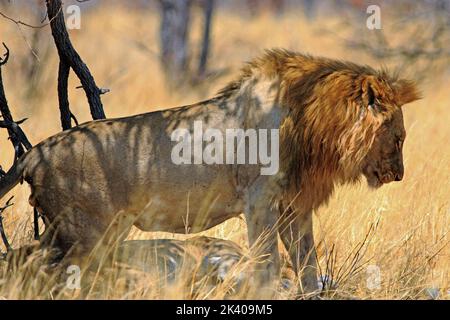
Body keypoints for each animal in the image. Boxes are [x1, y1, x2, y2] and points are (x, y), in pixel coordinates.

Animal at [0, 50, 422, 298]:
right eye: (399, 137)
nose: (400, 175)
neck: (314, 128)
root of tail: (35, 152)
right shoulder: (260, 203)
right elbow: (268, 265)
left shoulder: (294, 207)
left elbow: (308, 264)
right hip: (85, 232)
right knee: (43, 271)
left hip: (80, 232)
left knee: (24, 259)